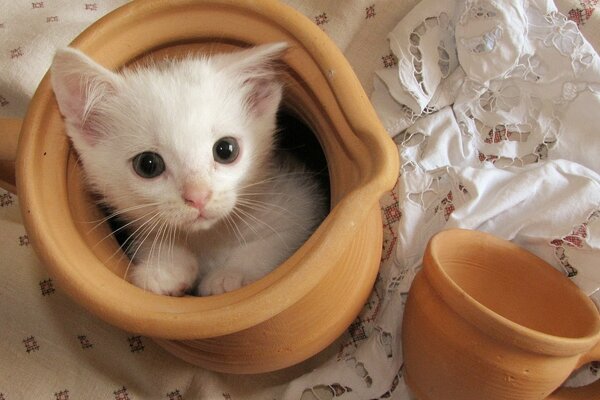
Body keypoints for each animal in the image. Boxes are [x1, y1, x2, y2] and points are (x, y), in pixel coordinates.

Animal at [49, 44, 326, 296]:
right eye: (147, 165)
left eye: (226, 150)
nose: (198, 197)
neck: (208, 238)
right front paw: (164, 268)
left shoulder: (299, 201)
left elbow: (276, 241)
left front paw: (231, 275)